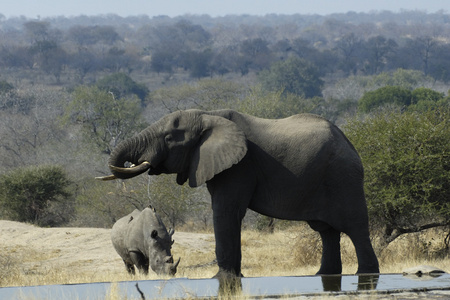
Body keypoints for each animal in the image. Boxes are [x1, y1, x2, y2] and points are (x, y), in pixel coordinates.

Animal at [98, 109, 380, 278]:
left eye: (168, 138)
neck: (208, 116)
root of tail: (350, 144)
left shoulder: (239, 166)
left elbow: (225, 211)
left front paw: (221, 278)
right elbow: (230, 215)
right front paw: (235, 277)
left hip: (343, 178)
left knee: (355, 228)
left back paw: (365, 275)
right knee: (327, 231)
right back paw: (324, 276)